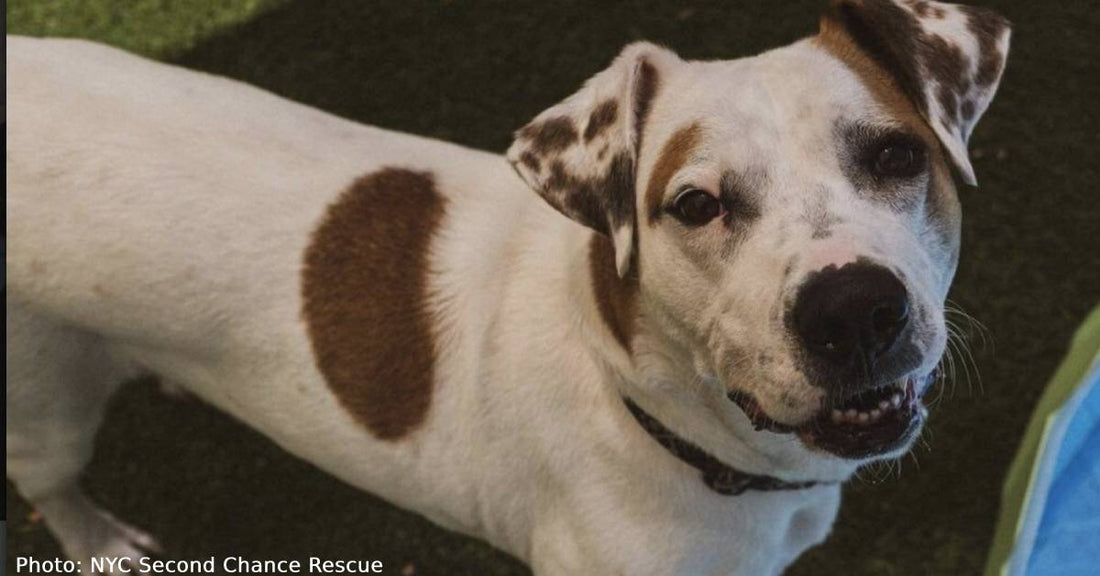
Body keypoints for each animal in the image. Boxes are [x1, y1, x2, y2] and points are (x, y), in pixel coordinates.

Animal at [4, 1, 1007, 571]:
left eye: (895, 155)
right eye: (696, 204)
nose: (855, 310)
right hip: (43, 404)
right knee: (50, 485)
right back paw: (100, 543)